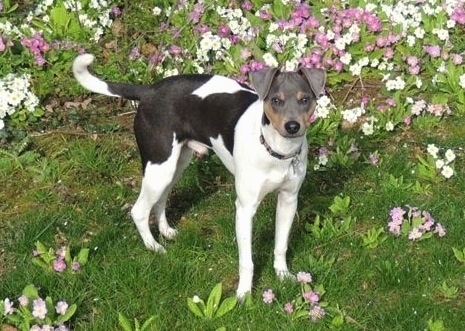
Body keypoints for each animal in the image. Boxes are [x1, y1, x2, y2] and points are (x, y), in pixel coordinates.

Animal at [73, 53, 326, 298]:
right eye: (276, 100)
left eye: (305, 99)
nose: (292, 126)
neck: (276, 150)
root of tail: (149, 90)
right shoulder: (245, 209)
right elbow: (247, 262)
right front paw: (244, 294)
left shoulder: (288, 201)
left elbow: (280, 245)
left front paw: (283, 275)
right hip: (159, 168)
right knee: (139, 211)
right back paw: (154, 246)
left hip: (176, 165)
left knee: (161, 199)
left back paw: (166, 231)